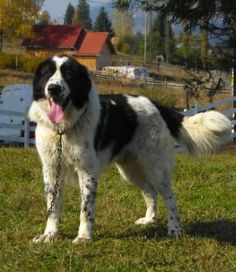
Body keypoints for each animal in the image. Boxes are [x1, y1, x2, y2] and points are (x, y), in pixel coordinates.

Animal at [28, 54, 231, 242]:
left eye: (68, 74)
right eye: (47, 74)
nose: (53, 89)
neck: (62, 130)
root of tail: (157, 105)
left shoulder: (87, 172)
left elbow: (85, 208)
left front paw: (84, 237)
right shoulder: (51, 170)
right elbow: (52, 207)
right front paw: (50, 235)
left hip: (156, 168)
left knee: (169, 197)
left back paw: (175, 229)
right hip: (130, 170)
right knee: (150, 191)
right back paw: (149, 220)